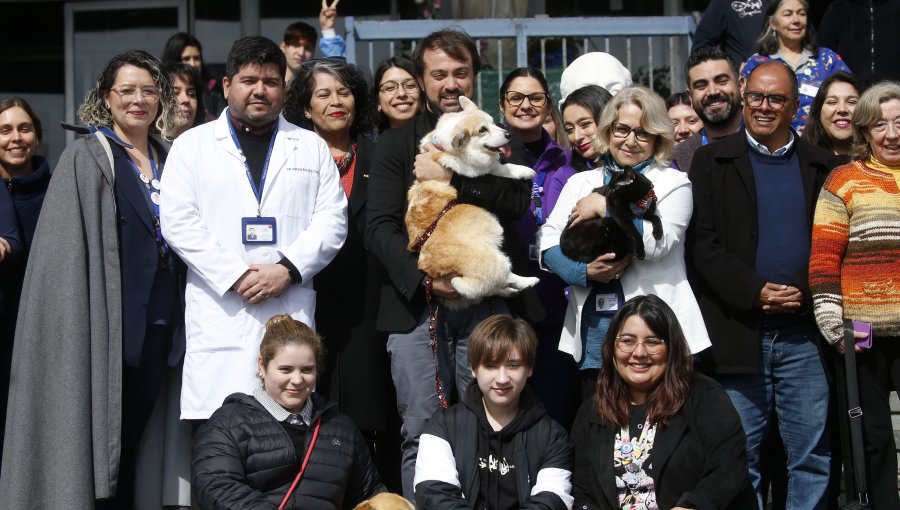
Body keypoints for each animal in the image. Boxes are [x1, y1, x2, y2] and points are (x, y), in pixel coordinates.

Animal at [408, 96, 540, 310]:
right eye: (482, 130)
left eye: (493, 122)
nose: (508, 134)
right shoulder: (476, 170)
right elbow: (502, 168)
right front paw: (525, 171)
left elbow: (501, 164)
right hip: (492, 260)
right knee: (504, 276)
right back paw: (527, 282)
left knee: (490, 288)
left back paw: (509, 292)